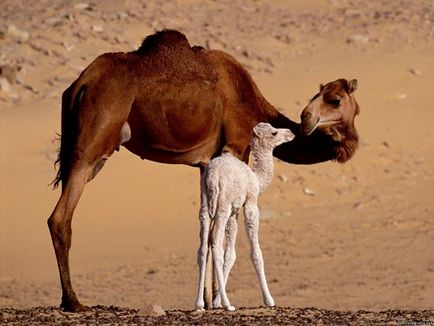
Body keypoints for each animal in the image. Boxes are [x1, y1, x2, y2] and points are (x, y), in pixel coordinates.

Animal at [196, 122, 294, 310]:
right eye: (273, 132)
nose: (291, 133)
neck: (256, 178)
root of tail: (212, 175)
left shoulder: (234, 212)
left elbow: (230, 255)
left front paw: (216, 302)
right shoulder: (250, 204)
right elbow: (256, 253)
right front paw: (269, 300)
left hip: (205, 204)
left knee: (203, 248)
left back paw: (199, 304)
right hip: (222, 205)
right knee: (215, 245)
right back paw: (228, 305)